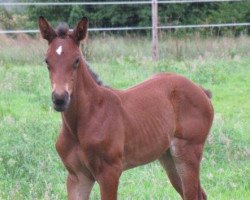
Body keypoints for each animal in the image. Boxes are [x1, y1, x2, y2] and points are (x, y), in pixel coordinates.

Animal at [38, 16, 213, 199]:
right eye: (47, 61)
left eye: (77, 60)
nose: (60, 99)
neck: (86, 119)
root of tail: (200, 90)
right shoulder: (77, 176)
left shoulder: (110, 173)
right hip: (168, 157)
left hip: (188, 153)